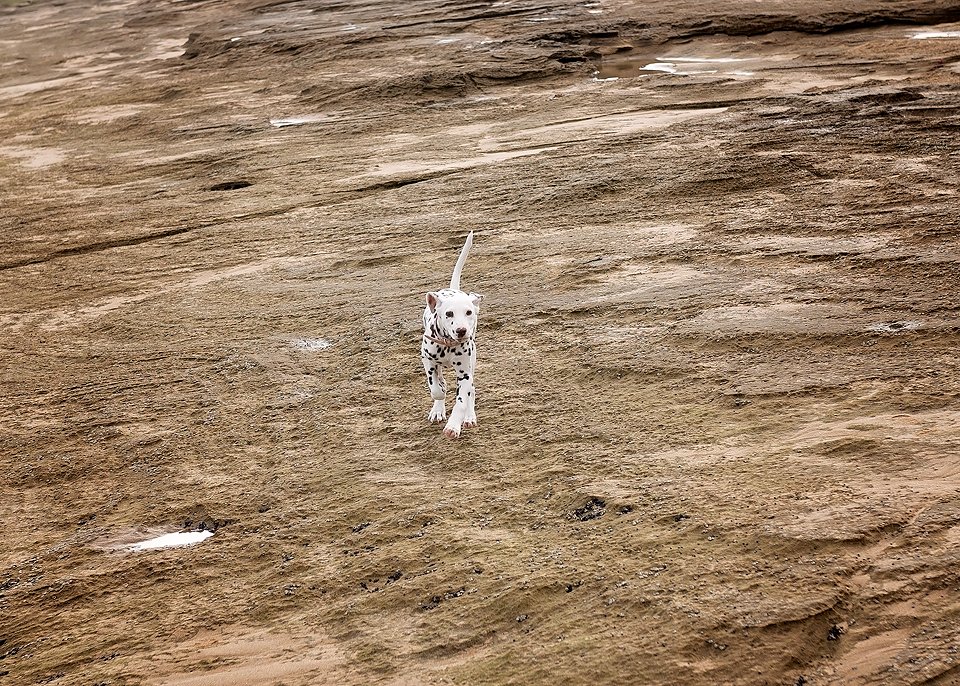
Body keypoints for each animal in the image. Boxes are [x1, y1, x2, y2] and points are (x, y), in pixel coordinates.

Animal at [420, 232, 484, 440]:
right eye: (448, 314)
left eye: (468, 312)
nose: (462, 330)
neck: (447, 345)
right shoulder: (428, 360)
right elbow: (436, 388)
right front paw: (439, 395)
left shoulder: (464, 374)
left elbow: (462, 400)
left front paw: (453, 426)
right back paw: (437, 409)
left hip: (472, 361)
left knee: (472, 390)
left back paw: (469, 417)